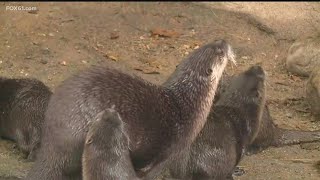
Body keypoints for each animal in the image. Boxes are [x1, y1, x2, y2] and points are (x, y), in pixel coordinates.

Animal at [26, 39, 236, 180]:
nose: (224, 41)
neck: (187, 102)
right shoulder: (172, 150)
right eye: (219, 51)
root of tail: (53, 143)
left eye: (210, 42)